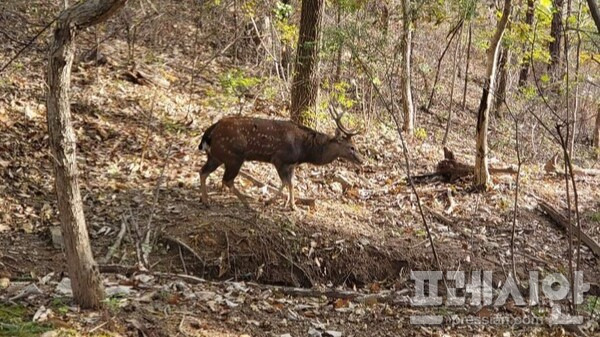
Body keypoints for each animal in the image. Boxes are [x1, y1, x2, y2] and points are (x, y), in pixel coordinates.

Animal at [199, 107, 364, 209]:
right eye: (351, 147)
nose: (362, 160)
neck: (304, 150)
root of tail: (211, 131)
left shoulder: (292, 164)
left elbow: (292, 183)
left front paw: (293, 206)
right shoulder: (279, 159)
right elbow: (285, 182)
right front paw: (269, 202)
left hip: (216, 155)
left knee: (203, 171)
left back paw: (206, 201)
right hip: (234, 156)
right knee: (226, 180)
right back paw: (246, 204)